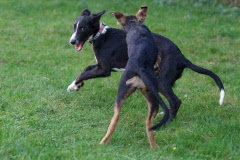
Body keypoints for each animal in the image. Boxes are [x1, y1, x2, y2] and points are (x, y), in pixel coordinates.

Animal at [66, 8, 224, 119]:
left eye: (83, 28)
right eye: (74, 26)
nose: (72, 41)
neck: (100, 34)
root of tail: (182, 57)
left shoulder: (104, 69)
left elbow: (84, 73)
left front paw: (73, 86)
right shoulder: (100, 66)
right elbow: (85, 70)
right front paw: (76, 85)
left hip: (162, 82)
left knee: (175, 101)